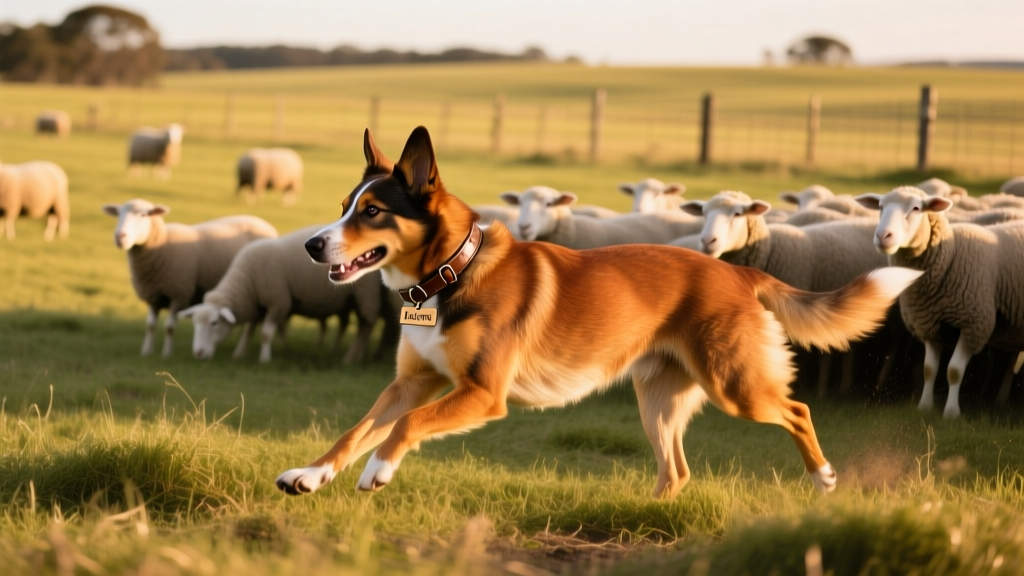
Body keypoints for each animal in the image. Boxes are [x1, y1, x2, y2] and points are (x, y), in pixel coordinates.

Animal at [102, 199, 278, 357]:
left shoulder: (179, 294)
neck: (163, 245)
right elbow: (150, 326)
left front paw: (167, 354)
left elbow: (169, 327)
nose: (120, 237)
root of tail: (262, 222)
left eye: (144, 214)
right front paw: (146, 352)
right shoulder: (153, 297)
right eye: (118, 214)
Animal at [178, 225, 384, 364]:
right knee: (348, 324)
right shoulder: (257, 304)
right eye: (194, 323)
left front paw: (264, 359)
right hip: (348, 299)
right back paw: (342, 351)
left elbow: (265, 334)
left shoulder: (278, 302)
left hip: (366, 294)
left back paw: (350, 358)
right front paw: (240, 353)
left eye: (214, 323)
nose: (198, 354)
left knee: (366, 325)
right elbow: (248, 330)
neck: (247, 281)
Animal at [855, 186, 1024, 418]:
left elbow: (954, 371)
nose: (883, 236)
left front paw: (951, 413)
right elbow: (929, 369)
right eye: (880, 207)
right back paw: (1000, 401)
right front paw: (925, 407)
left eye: (916, 208)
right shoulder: (929, 324)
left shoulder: (973, 324)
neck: (951, 255)